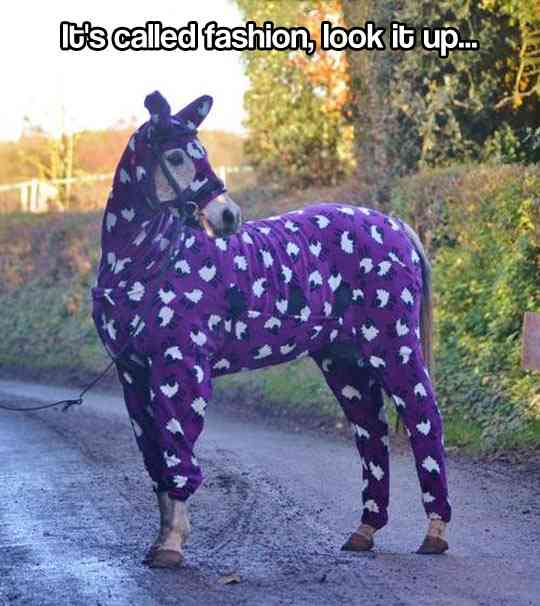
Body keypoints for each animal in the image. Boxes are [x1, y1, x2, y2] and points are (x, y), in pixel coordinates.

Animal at [91, 91, 451, 568]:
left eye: (202, 153)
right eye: (176, 156)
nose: (228, 215)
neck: (148, 264)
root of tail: (394, 225)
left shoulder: (180, 370)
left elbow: (178, 454)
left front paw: (171, 545)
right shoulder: (133, 375)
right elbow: (156, 462)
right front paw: (161, 540)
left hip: (394, 350)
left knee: (424, 421)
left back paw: (435, 532)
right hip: (345, 364)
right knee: (370, 432)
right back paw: (364, 531)